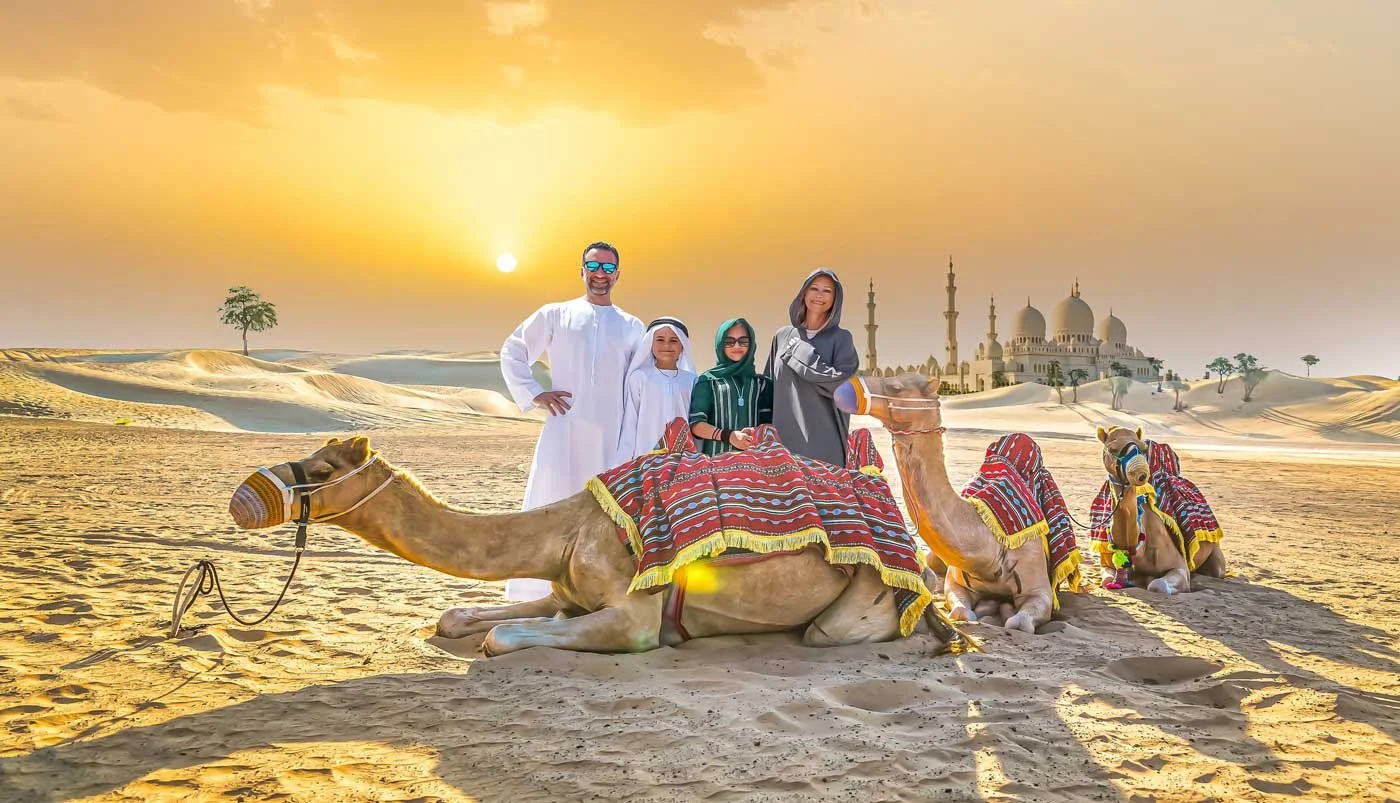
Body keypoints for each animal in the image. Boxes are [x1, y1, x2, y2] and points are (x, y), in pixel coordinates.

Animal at [227, 436, 963, 656]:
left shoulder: (632, 614)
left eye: (323, 466)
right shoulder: (564, 585)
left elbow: (504, 637)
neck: (570, 527)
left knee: (834, 631)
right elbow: (461, 616)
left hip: (862, 600)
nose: (242, 495)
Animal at [834, 373, 1074, 634]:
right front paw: (986, 609)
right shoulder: (956, 582)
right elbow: (961, 612)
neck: (992, 542)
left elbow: (1017, 622)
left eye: (896, 387)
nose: (847, 390)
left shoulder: (1039, 589)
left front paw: (1001, 610)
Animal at [1095, 426, 1227, 594]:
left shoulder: (1180, 567)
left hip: (1216, 556)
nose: (1140, 473)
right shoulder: (1107, 564)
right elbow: (1107, 581)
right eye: (1112, 448)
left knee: (1215, 570)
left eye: (1144, 448)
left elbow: (1158, 585)